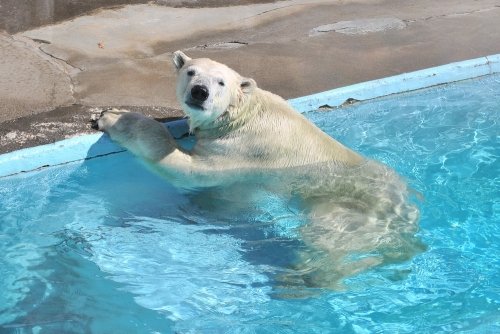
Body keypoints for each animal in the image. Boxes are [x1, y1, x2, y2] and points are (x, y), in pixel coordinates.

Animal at [94, 50, 422, 290]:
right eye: (191, 72)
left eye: (221, 82)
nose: (200, 92)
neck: (244, 112)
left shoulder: (241, 148)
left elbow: (191, 169)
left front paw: (115, 117)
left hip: (346, 211)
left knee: (326, 242)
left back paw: (299, 278)